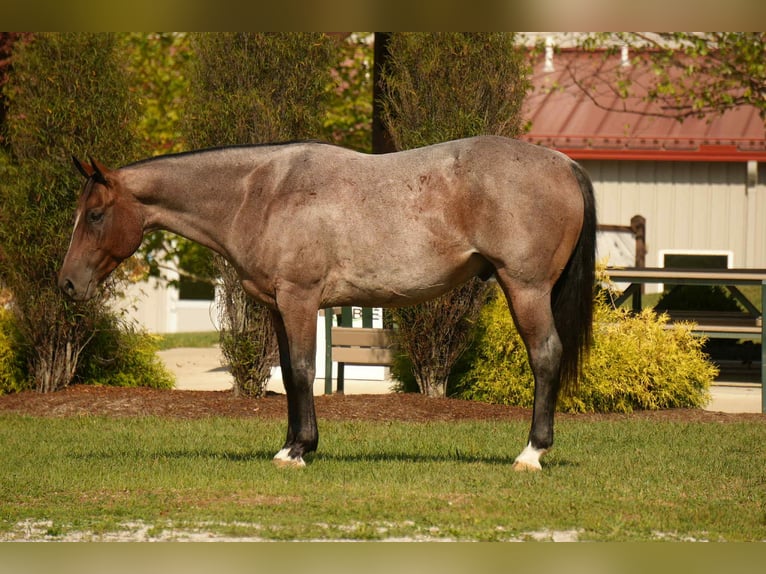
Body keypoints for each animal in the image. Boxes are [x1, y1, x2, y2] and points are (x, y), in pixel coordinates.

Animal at [59, 136, 596, 471]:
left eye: (96, 214)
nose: (66, 284)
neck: (261, 193)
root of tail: (563, 162)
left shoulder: (300, 298)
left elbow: (300, 369)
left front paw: (298, 450)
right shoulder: (278, 305)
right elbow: (288, 371)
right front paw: (292, 444)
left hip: (524, 288)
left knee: (545, 355)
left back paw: (531, 453)